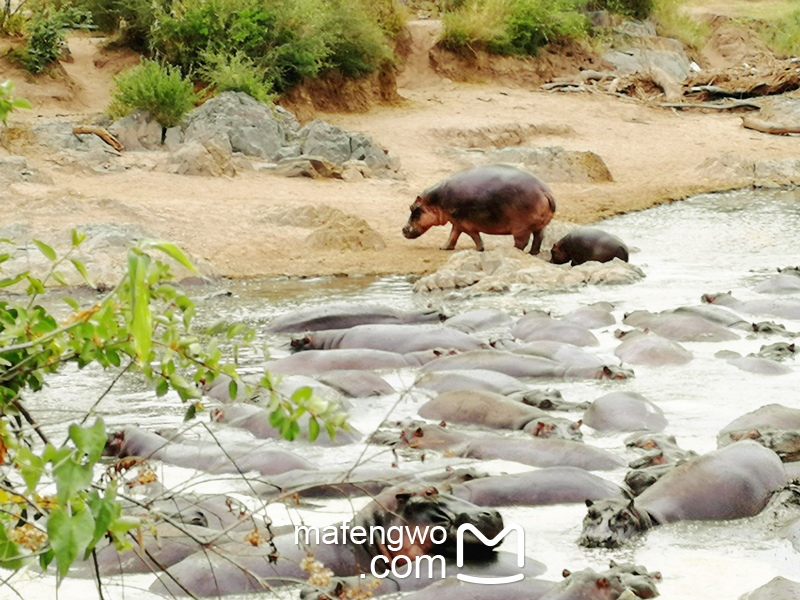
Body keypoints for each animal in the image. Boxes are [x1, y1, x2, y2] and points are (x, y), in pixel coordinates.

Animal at [400, 163, 556, 254]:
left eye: (413, 208)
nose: (403, 229)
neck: (436, 200)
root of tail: (545, 190)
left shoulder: (465, 223)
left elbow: (474, 236)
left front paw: (479, 249)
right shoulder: (457, 222)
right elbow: (453, 235)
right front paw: (444, 247)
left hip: (520, 228)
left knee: (522, 242)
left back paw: (513, 251)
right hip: (539, 225)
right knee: (539, 238)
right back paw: (532, 253)